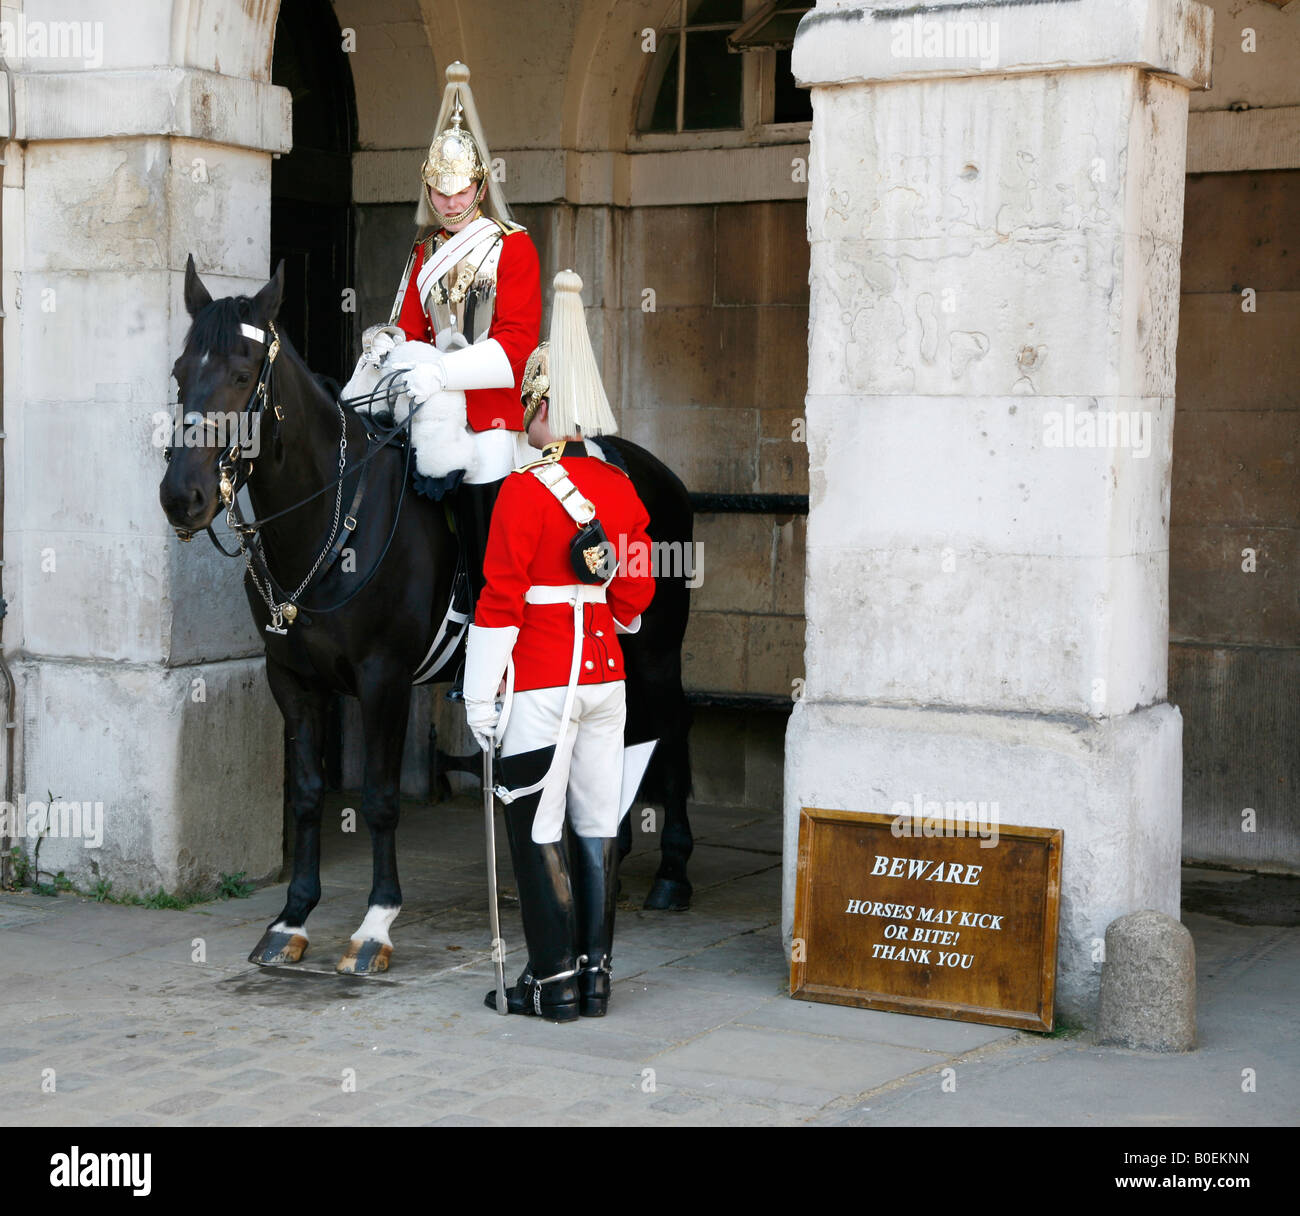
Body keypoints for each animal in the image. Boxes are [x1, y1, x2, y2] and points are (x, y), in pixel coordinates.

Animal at [158, 258, 696, 978]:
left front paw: (376, 924)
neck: (331, 519)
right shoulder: (291, 679)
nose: (181, 497)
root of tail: (658, 471)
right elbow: (306, 792)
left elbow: (381, 799)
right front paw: (293, 917)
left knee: (672, 728)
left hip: (656, 652)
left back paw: (672, 870)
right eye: (180, 372)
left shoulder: (382, 679)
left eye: (243, 374)